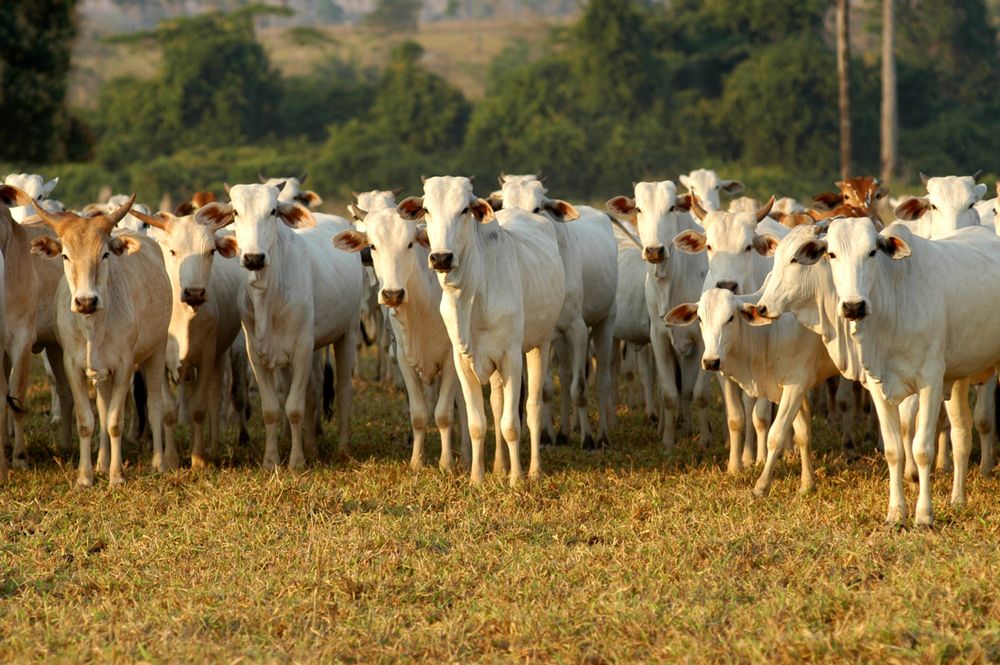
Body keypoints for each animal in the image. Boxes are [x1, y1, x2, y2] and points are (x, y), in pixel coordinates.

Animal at [28, 195, 176, 486]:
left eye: (105, 254)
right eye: (65, 255)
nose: (86, 301)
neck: (93, 327)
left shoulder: (125, 366)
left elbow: (115, 421)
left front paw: (117, 476)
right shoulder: (73, 366)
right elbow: (88, 421)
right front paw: (86, 477)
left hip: (156, 351)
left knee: (155, 405)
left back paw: (158, 462)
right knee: (103, 406)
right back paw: (101, 462)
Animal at [216, 184, 364, 470]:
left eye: (273, 211)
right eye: (236, 212)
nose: (254, 258)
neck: (269, 296)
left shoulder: (302, 348)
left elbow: (294, 407)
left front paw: (296, 462)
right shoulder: (256, 353)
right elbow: (272, 408)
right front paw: (271, 460)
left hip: (348, 333)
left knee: (343, 390)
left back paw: (342, 448)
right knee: (314, 390)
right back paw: (312, 447)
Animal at [330, 205, 466, 470]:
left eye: (410, 244)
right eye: (372, 246)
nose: (393, 294)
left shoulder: (450, 359)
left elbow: (444, 414)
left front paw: (446, 463)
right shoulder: (404, 357)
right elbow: (419, 413)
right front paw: (416, 461)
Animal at [398, 176, 572, 486]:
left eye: (465, 210)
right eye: (427, 210)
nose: (441, 258)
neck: (472, 293)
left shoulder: (511, 358)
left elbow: (512, 424)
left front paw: (517, 480)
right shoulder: (463, 361)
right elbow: (478, 423)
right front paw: (476, 478)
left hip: (540, 344)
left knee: (532, 409)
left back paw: (534, 469)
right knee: (497, 403)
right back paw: (500, 465)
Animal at [608, 182, 712, 452]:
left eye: (672, 207)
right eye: (639, 209)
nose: (655, 250)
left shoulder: (701, 342)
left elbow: (695, 392)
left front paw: (700, 438)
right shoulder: (659, 337)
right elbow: (669, 393)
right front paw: (668, 443)